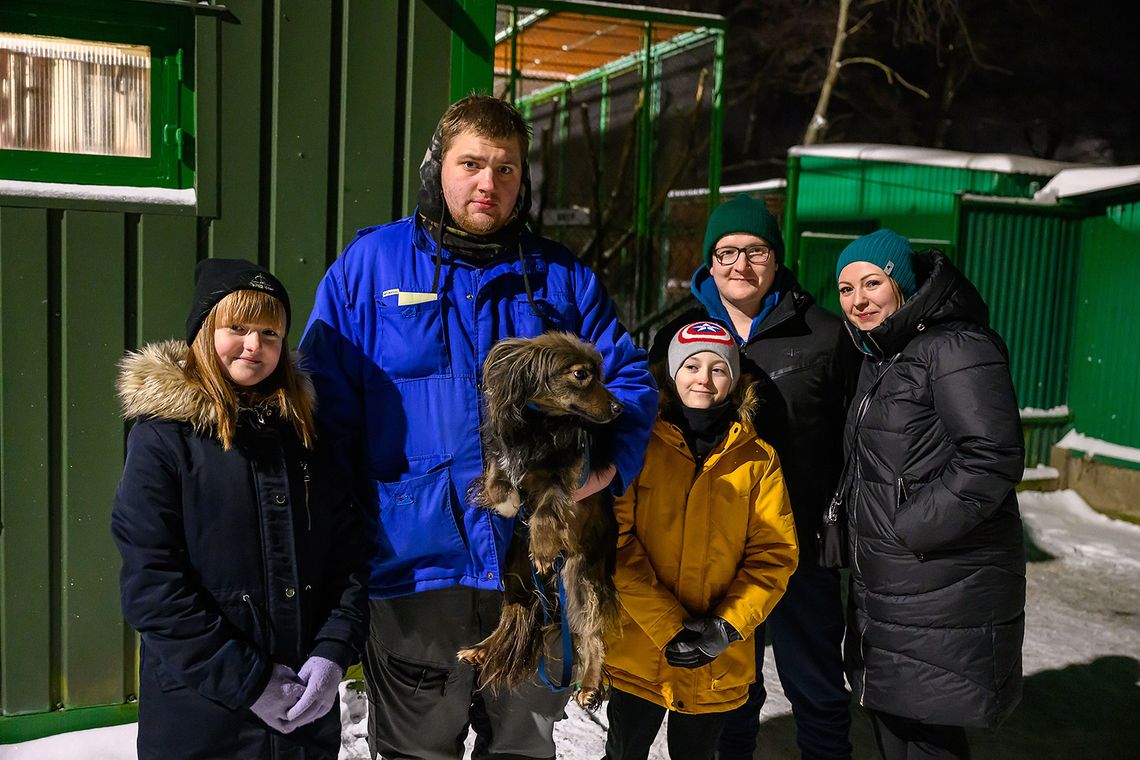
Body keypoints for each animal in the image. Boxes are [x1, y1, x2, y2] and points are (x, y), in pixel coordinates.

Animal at [456, 332, 624, 715]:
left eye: (598, 372)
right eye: (580, 374)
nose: (620, 409)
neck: (540, 426)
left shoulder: (568, 478)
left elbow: (547, 509)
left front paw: (544, 547)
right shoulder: (502, 455)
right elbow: (497, 479)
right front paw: (509, 502)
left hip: (578, 574)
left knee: (592, 632)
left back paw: (589, 685)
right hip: (514, 571)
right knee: (512, 613)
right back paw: (482, 648)